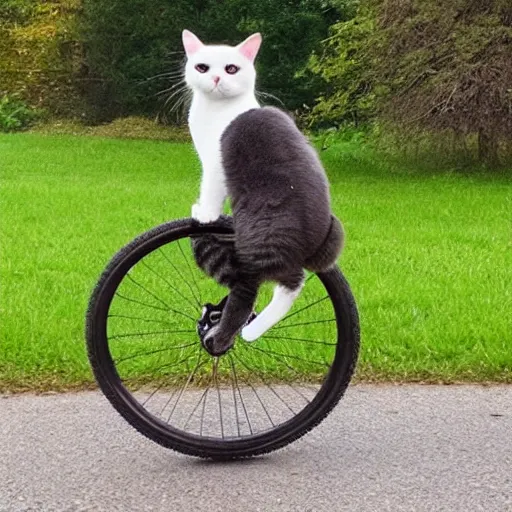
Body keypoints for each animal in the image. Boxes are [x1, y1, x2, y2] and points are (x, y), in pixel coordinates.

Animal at [182, 31, 342, 356]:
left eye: (231, 68)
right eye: (202, 67)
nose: (216, 78)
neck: (214, 111)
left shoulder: (215, 165)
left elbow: (211, 191)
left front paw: (204, 214)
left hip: (259, 239)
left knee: (273, 287)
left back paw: (245, 332)